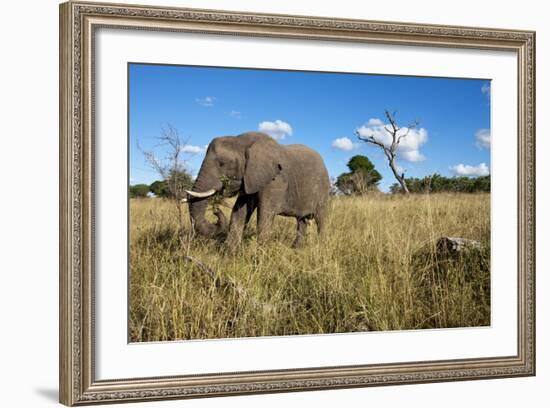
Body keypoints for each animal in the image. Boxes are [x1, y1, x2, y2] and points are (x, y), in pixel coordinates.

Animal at [185, 132, 332, 250]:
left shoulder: (275, 180)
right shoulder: (249, 178)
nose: (215, 211)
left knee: (321, 219)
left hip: (323, 190)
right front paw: (229, 252)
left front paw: (261, 254)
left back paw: (321, 247)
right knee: (301, 221)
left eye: (222, 163)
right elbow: (239, 211)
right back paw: (296, 249)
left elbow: (264, 214)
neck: (242, 140)